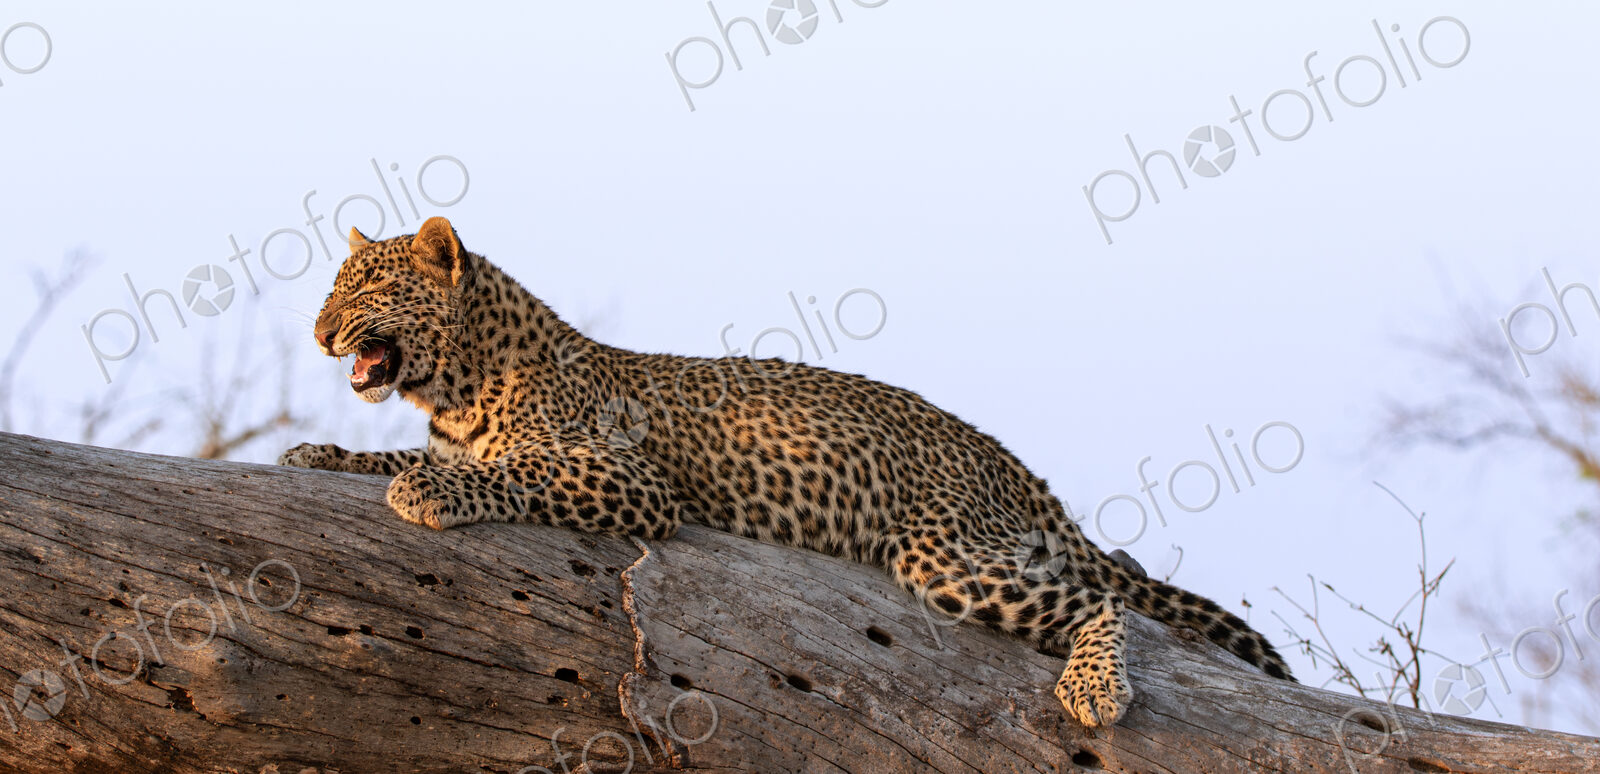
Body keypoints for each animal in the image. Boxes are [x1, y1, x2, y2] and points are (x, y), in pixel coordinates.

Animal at [278, 216, 1294, 727]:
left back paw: (1094, 690)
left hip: (945, 554)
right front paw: (317, 454)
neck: (456, 387)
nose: (319, 333)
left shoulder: (632, 479)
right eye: (330, 290)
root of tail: (997, 453)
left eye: (367, 290)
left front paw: (428, 492)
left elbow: (516, 473)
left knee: (1104, 599)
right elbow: (397, 454)